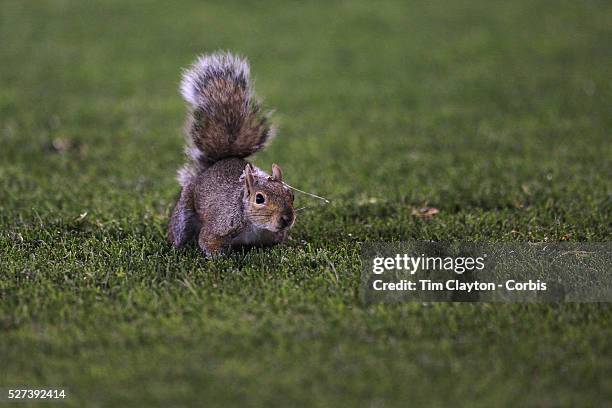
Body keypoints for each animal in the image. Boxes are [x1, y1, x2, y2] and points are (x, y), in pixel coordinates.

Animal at [169, 51, 296, 255]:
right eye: (259, 198)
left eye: (291, 195)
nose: (287, 219)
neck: (256, 226)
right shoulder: (219, 226)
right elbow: (207, 242)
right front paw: (223, 257)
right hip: (184, 210)